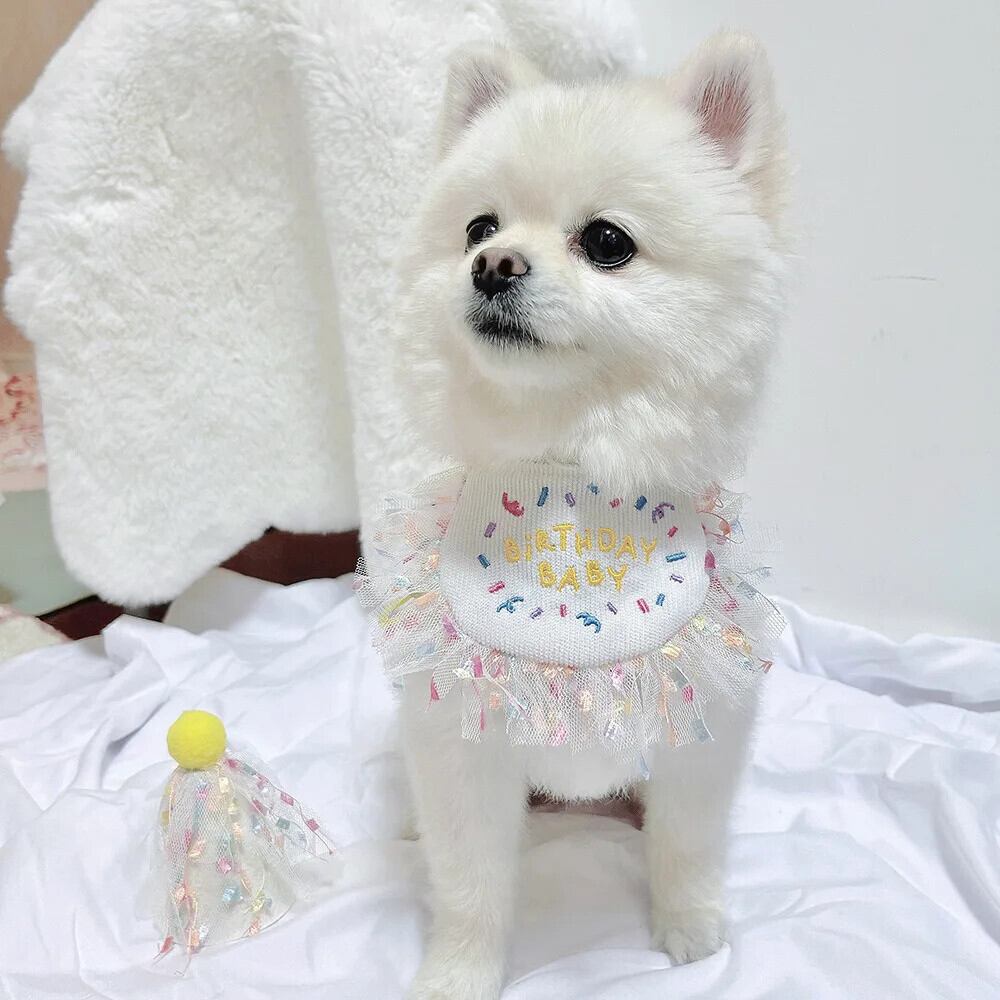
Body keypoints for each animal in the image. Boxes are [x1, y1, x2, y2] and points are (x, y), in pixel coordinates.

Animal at [387, 31, 790, 1000]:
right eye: (478, 228)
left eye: (607, 242)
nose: (493, 265)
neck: (564, 472)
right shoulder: (462, 745)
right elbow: (470, 882)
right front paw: (459, 971)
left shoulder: (700, 732)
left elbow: (685, 841)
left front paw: (687, 926)